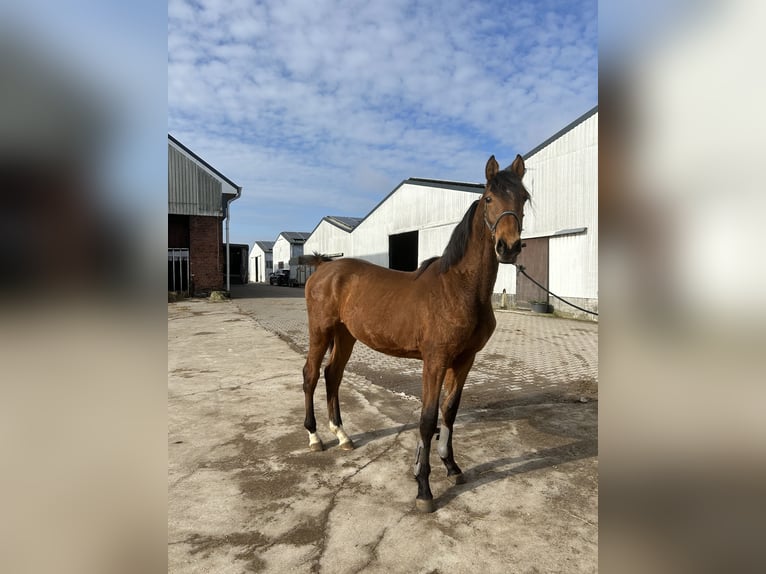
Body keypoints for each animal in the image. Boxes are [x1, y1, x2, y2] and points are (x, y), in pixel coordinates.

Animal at [302, 154, 530, 512]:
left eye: (524, 198)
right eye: (489, 198)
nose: (508, 247)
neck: (459, 288)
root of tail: (324, 267)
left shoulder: (464, 360)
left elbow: (449, 412)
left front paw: (452, 466)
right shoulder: (434, 361)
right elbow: (427, 418)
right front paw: (424, 487)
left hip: (346, 335)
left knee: (332, 374)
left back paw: (342, 435)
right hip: (321, 331)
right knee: (311, 374)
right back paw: (314, 438)